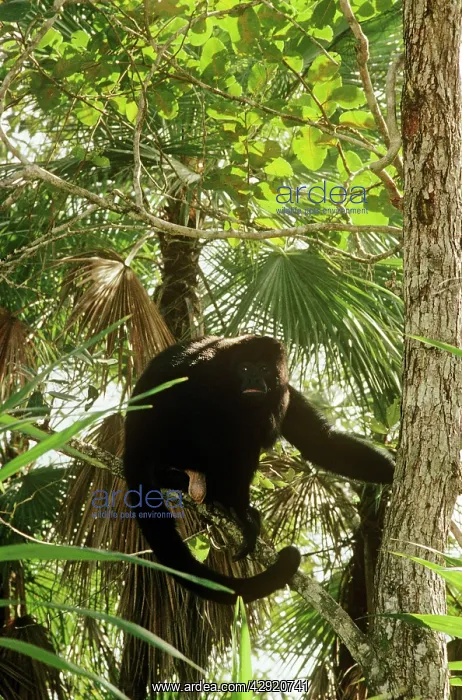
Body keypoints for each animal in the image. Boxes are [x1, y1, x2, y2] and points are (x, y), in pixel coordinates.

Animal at [123, 336, 394, 605]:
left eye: (264, 368)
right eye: (244, 368)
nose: (253, 379)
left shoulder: (284, 391)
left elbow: (320, 442)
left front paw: (391, 471)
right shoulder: (205, 379)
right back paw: (228, 503)